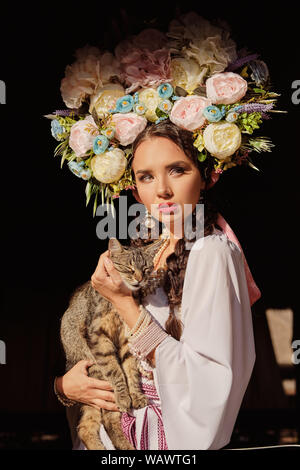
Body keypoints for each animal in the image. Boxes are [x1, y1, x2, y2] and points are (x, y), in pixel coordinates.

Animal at [59, 237, 165, 450]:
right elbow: (116, 371)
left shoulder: (125, 340)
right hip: (95, 370)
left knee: (87, 426)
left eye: (146, 268)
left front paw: (137, 395)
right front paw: (125, 396)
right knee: (102, 420)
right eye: (129, 268)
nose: (139, 279)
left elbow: (131, 371)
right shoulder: (98, 338)